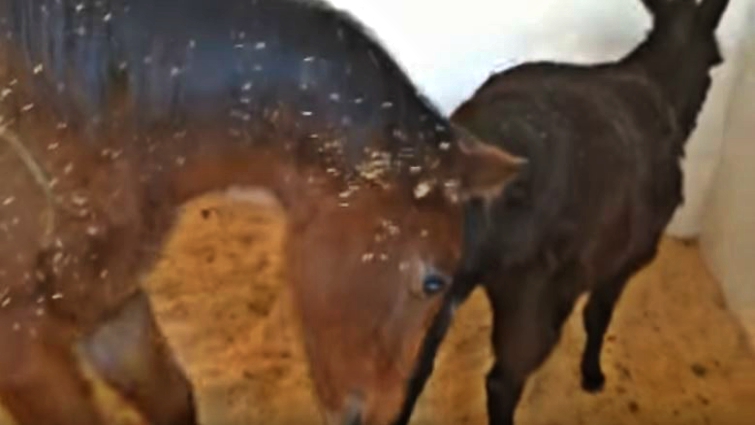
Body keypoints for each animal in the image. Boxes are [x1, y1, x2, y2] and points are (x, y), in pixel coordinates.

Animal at [392, 0, 731, 424]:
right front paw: (592, 375)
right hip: (536, 292)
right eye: (716, 59)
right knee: (502, 381)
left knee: (409, 371)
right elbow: (599, 316)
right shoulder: (624, 257)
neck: (659, 87)